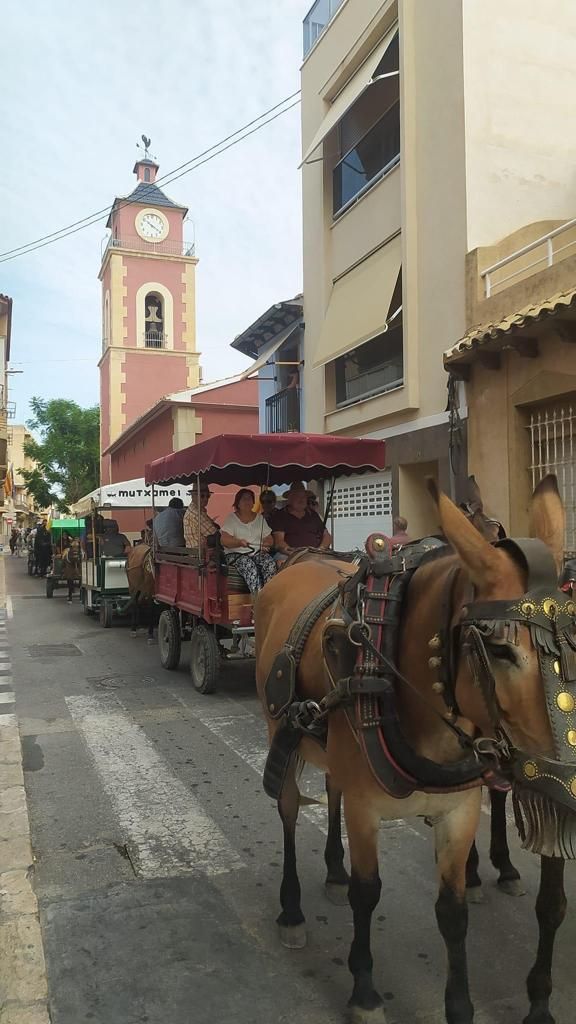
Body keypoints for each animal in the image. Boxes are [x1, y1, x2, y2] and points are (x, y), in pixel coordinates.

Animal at [253, 475, 569, 1024]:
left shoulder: (459, 811)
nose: (565, 775)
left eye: (570, 642)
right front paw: (364, 990)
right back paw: (291, 910)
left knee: (330, 790)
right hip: (281, 734)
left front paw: (460, 1005)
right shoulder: (365, 809)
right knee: (291, 810)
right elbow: (368, 893)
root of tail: (297, 564)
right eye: (499, 648)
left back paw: (333, 870)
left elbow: (453, 911)